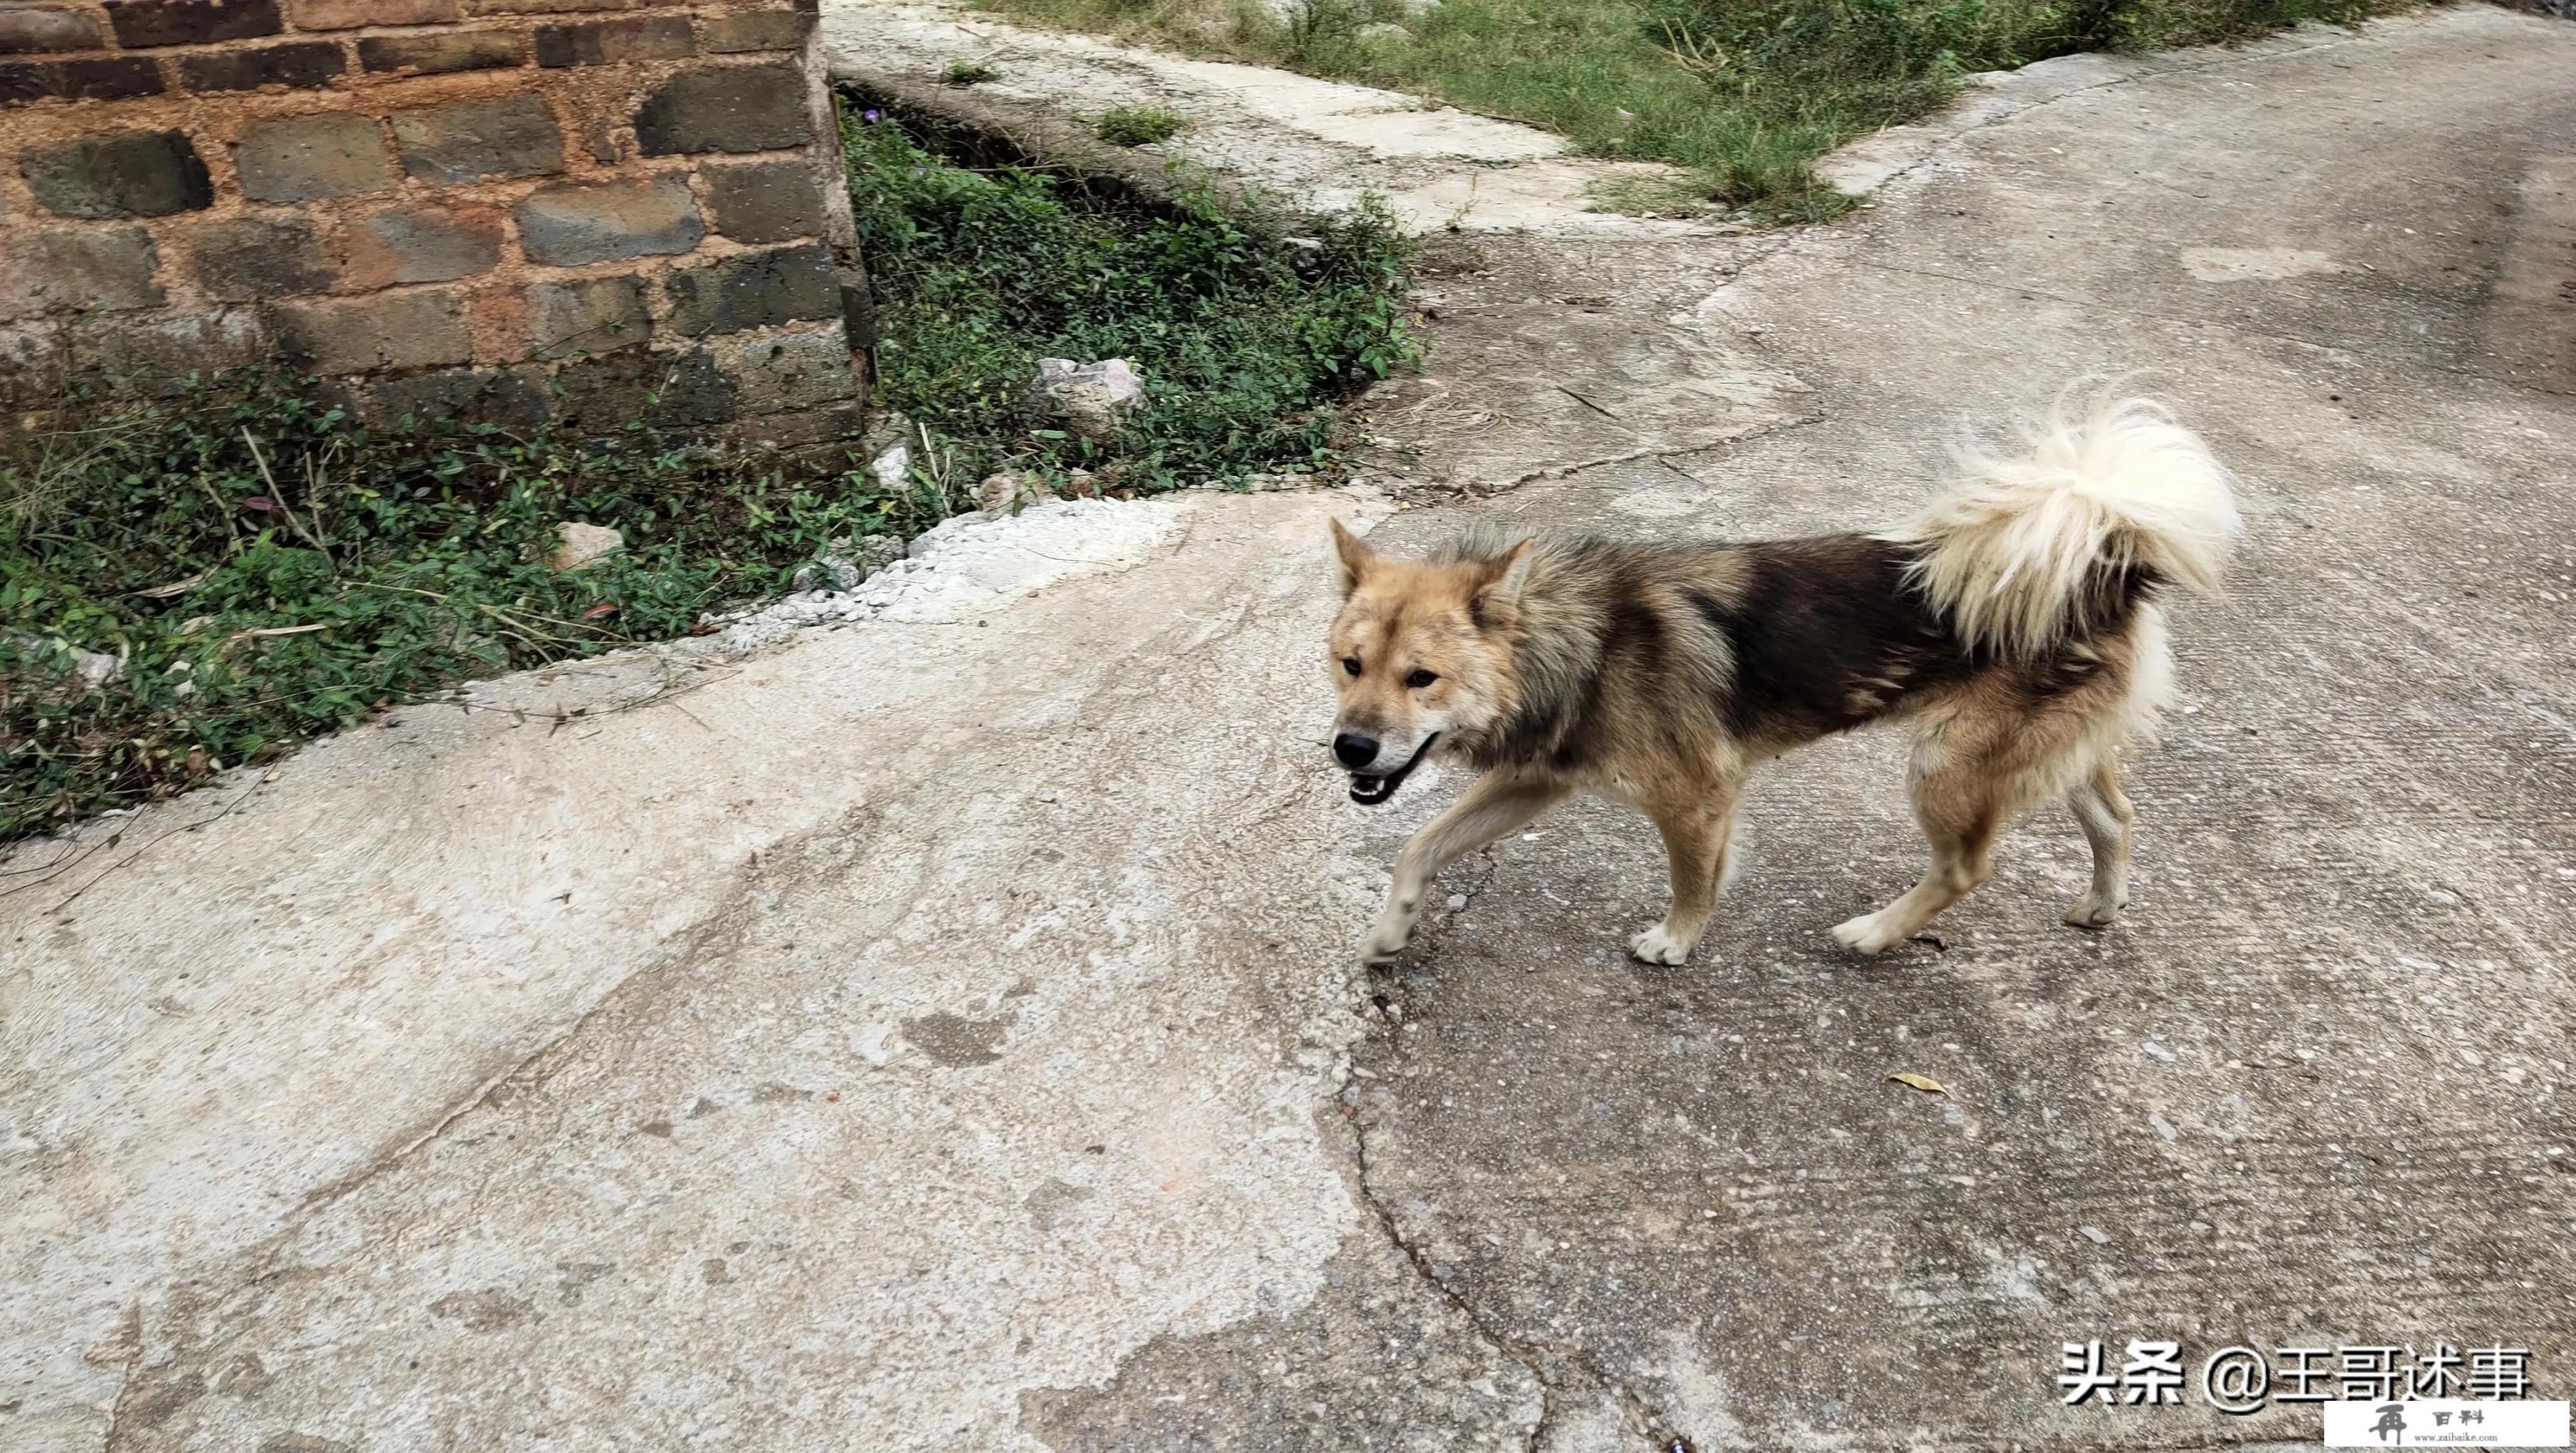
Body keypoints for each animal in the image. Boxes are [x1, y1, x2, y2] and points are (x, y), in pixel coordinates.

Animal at [1329, 394, 2235, 963]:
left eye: (1423, 677)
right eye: (1350, 665)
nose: (1350, 748)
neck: (1582, 636)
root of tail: (2107, 559)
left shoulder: (1697, 794)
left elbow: (1693, 877)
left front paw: (1676, 941)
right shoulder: (1537, 778)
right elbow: (1419, 844)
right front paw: (1389, 930)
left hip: (1947, 766)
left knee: (1965, 868)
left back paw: (1875, 934)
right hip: (2044, 750)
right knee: (2116, 818)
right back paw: (2103, 904)